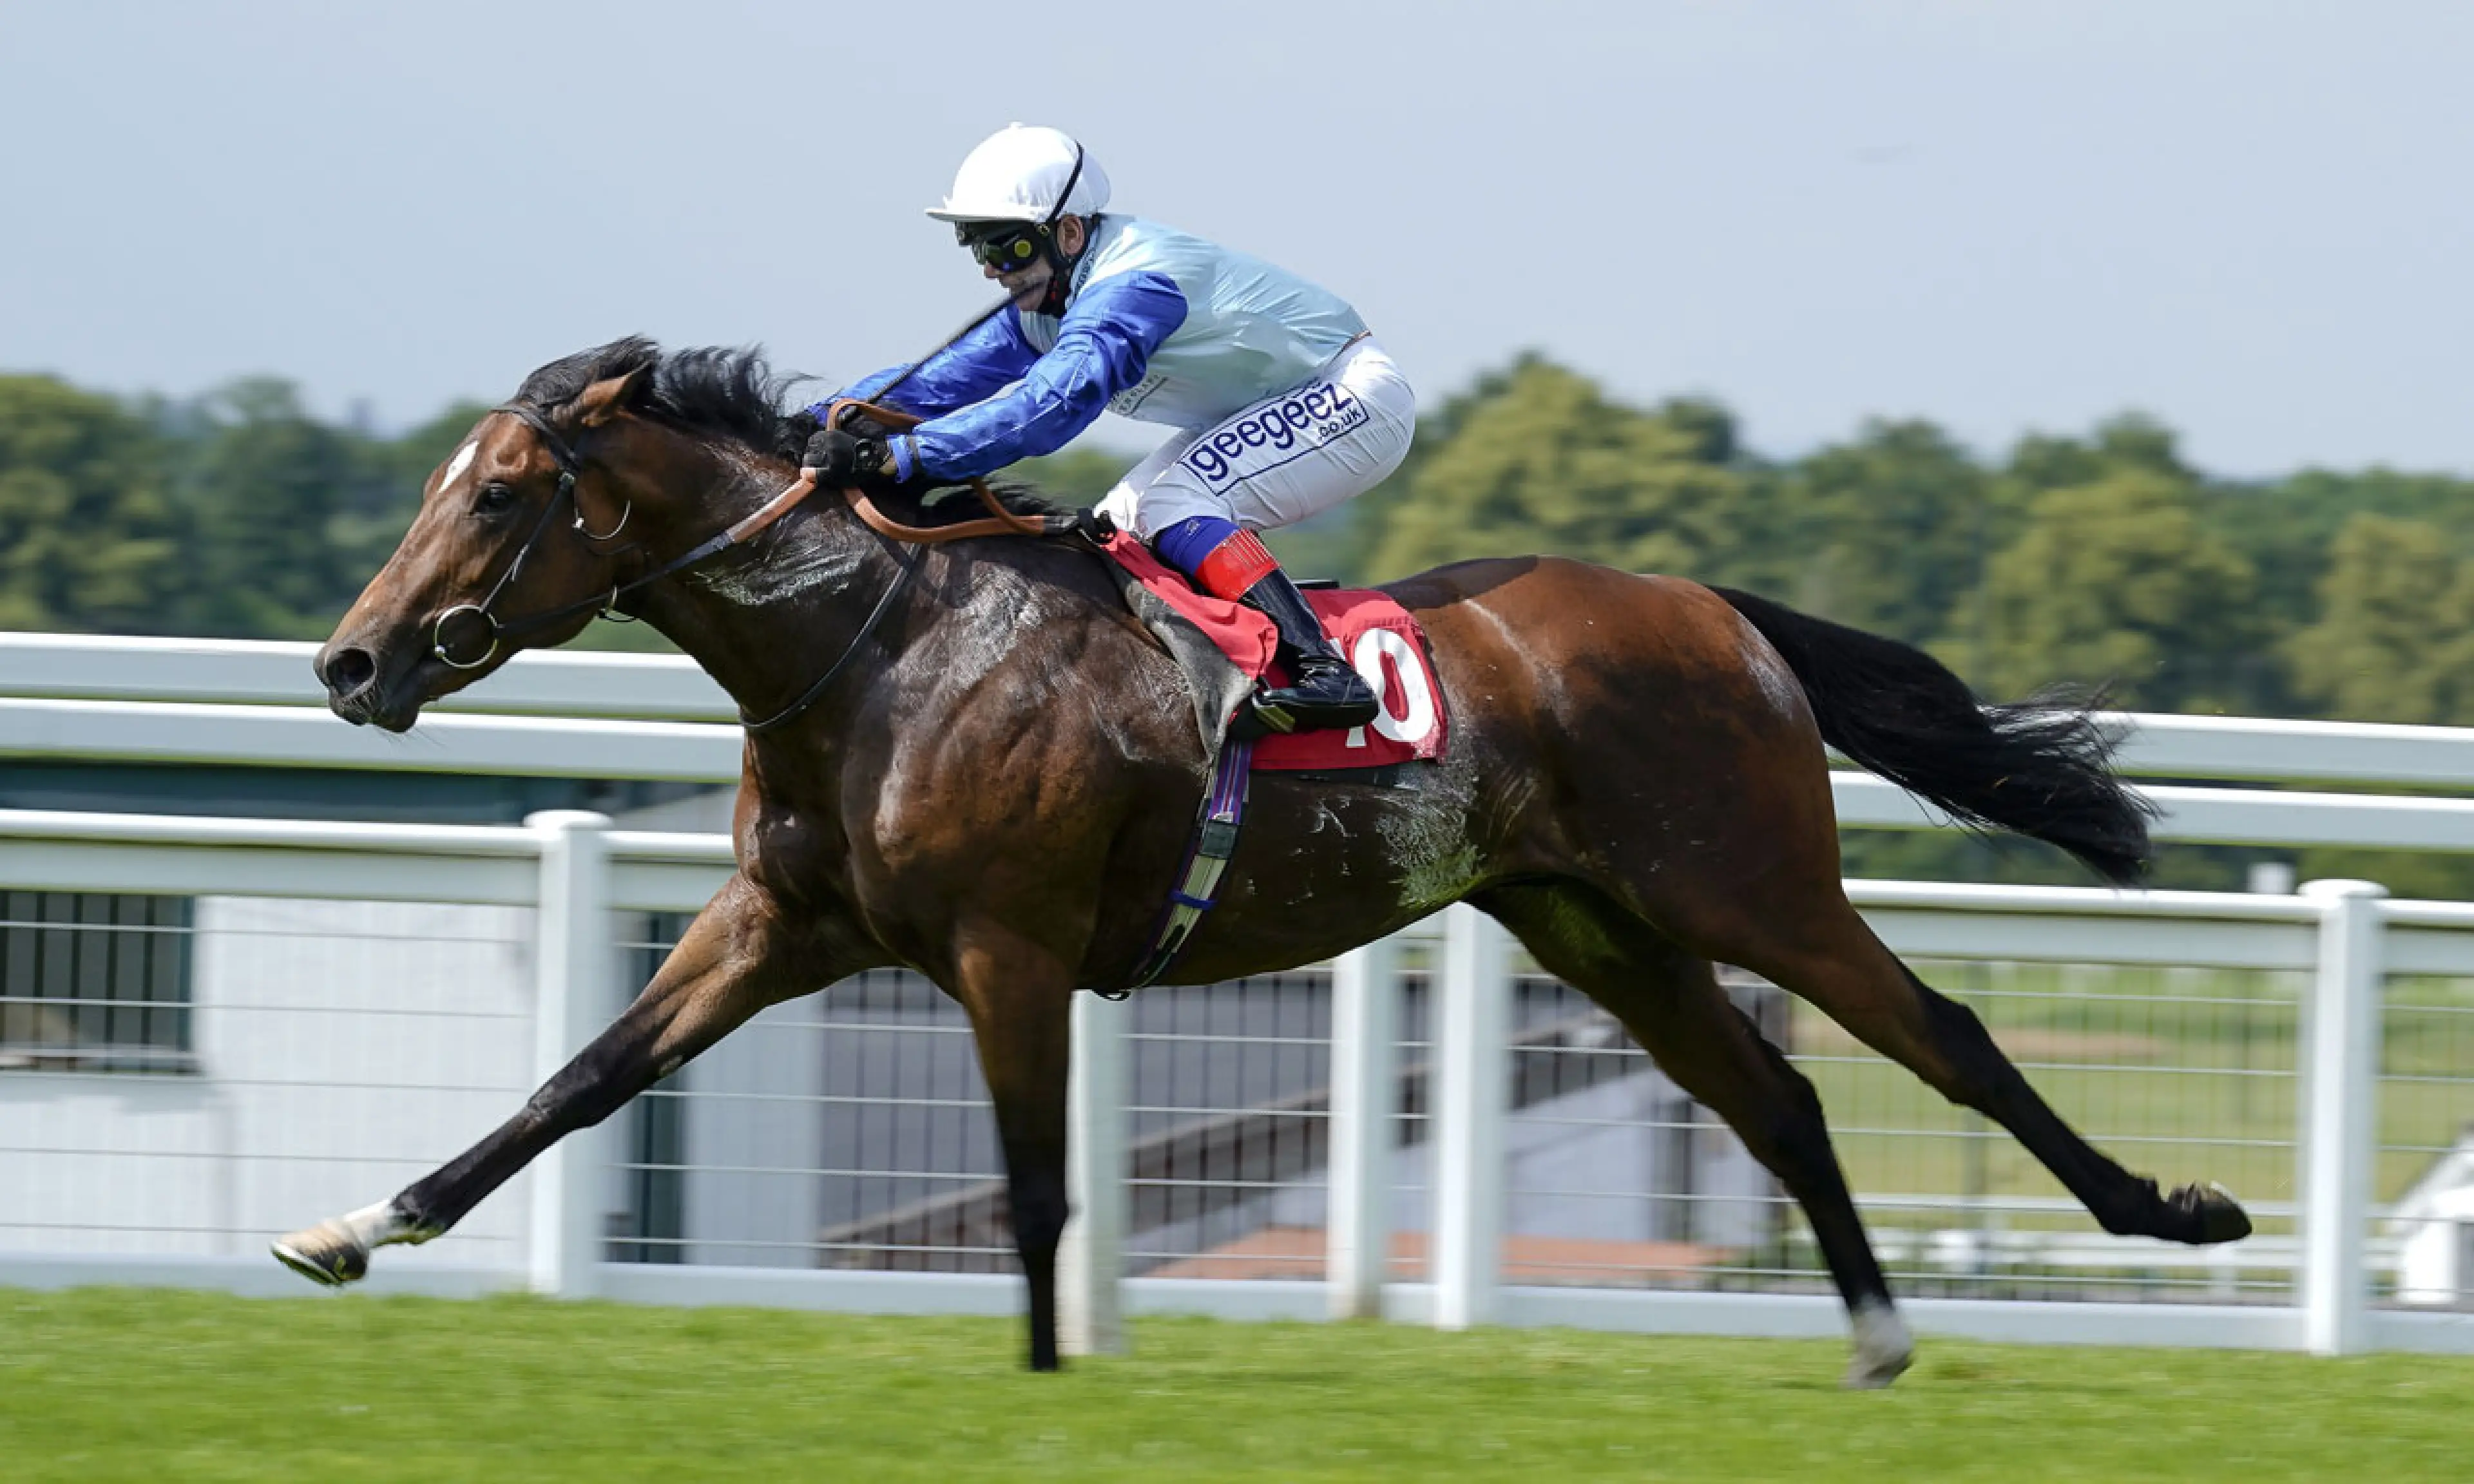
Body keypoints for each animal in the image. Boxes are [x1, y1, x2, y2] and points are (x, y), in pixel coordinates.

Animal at [280, 337, 2251, 1388]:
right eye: (440, 484)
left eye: (501, 494)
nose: (351, 663)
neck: (882, 646)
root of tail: (1714, 610)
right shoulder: (781, 925)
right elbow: (574, 1083)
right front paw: (356, 1228)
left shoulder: (1005, 950)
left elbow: (1036, 1187)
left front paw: (1044, 1375)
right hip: (1597, 924)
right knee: (1778, 1099)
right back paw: (1877, 1336)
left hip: (1749, 886)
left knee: (1952, 1041)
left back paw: (2168, 1214)